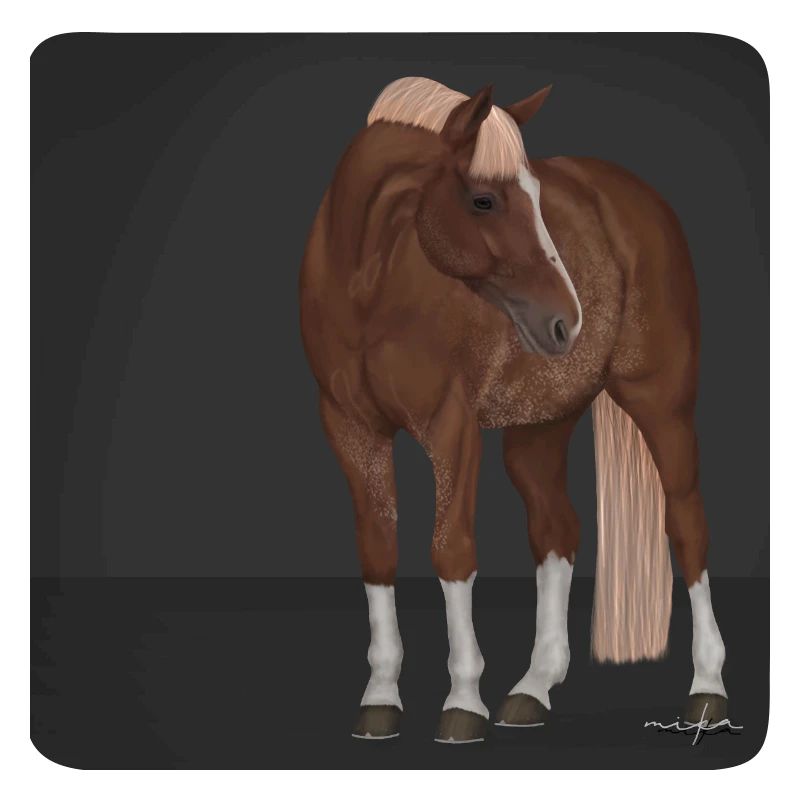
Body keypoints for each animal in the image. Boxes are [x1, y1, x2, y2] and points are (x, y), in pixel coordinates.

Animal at [299, 76, 727, 743]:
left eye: (536, 199)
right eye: (483, 200)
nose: (567, 322)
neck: (369, 283)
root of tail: (636, 197)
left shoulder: (451, 428)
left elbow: (452, 549)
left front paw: (462, 703)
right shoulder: (349, 428)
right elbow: (378, 549)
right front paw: (380, 699)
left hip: (662, 404)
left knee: (687, 526)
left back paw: (707, 690)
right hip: (540, 427)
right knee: (557, 531)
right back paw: (532, 690)